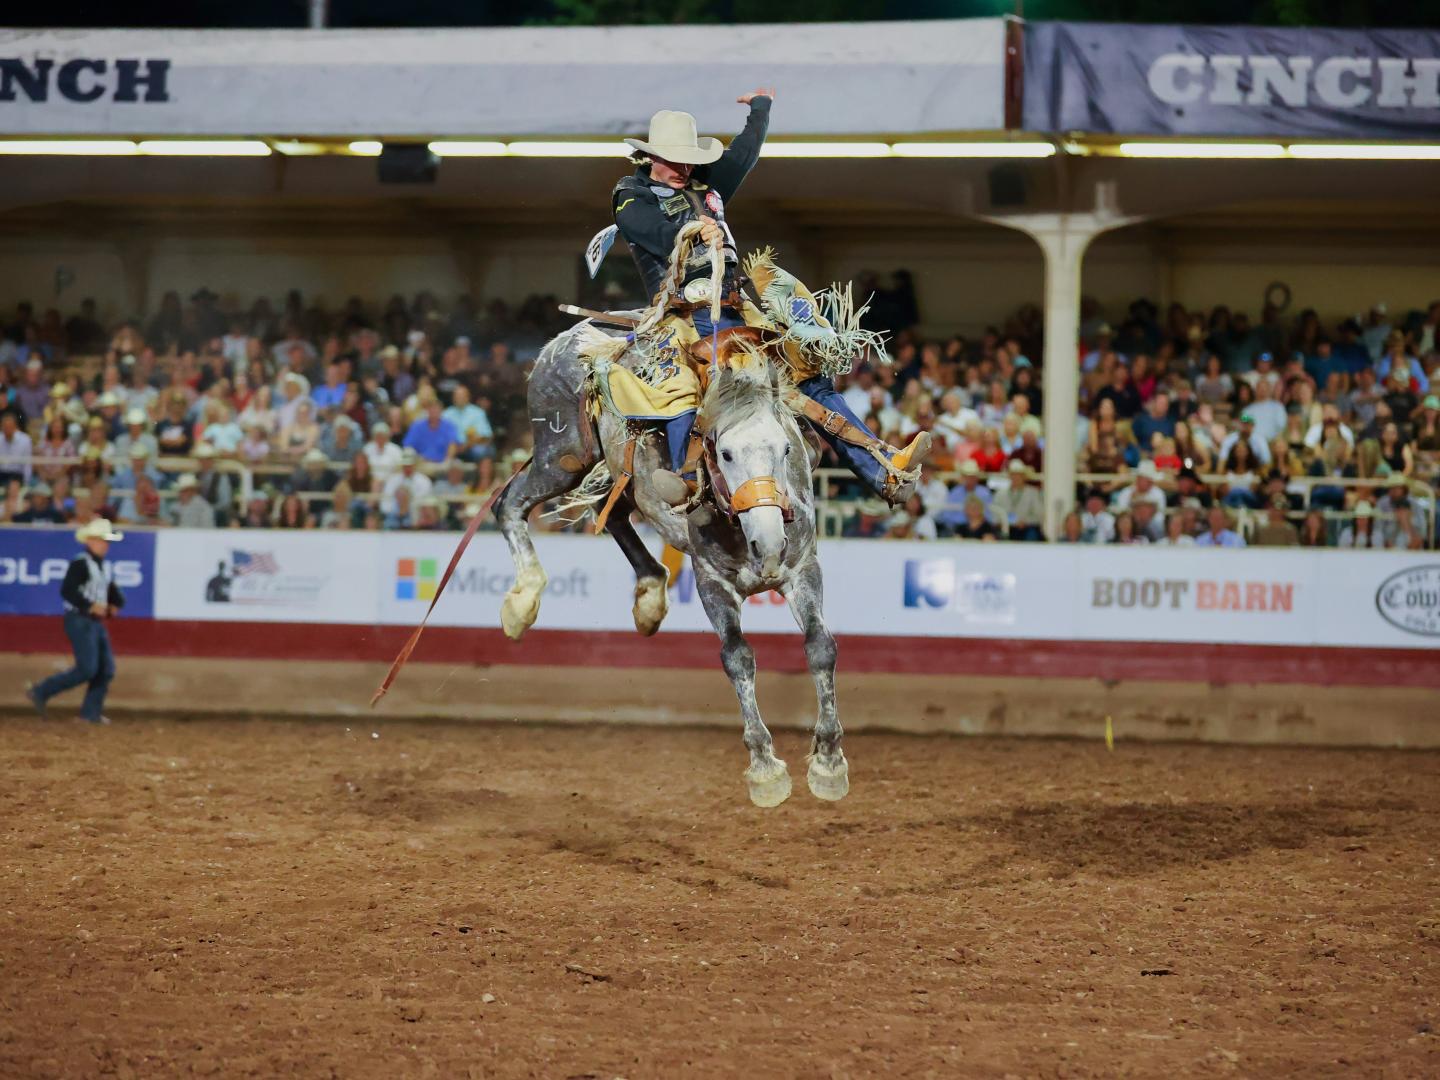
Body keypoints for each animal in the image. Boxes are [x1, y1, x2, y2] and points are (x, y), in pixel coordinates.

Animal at [494, 323, 846, 808]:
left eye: (786, 448)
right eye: (725, 453)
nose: (771, 544)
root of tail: (571, 340)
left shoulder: (803, 570)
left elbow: (820, 647)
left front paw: (828, 762)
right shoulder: (710, 581)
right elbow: (738, 657)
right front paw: (765, 770)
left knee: (610, 509)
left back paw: (649, 596)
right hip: (560, 457)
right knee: (509, 504)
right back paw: (523, 601)